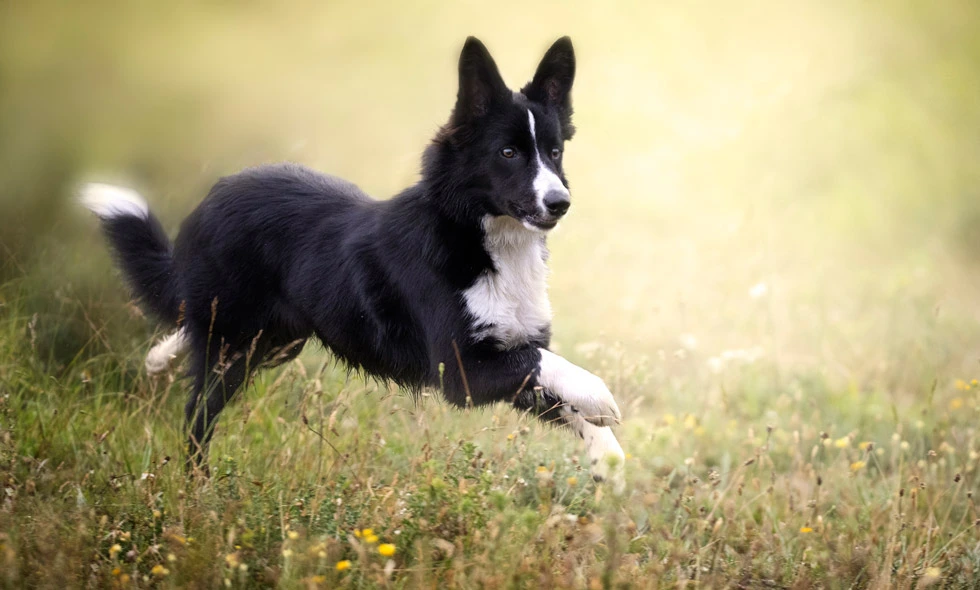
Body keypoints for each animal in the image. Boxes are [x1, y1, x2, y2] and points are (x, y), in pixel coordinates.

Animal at [80, 35, 624, 490]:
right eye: (508, 152)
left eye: (554, 152)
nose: (560, 203)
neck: (482, 237)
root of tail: (214, 196)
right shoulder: (462, 371)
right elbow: (549, 366)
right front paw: (600, 396)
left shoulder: (506, 354)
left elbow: (558, 392)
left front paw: (607, 456)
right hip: (234, 348)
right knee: (198, 415)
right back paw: (198, 487)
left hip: (276, 340)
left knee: (191, 324)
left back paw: (160, 356)